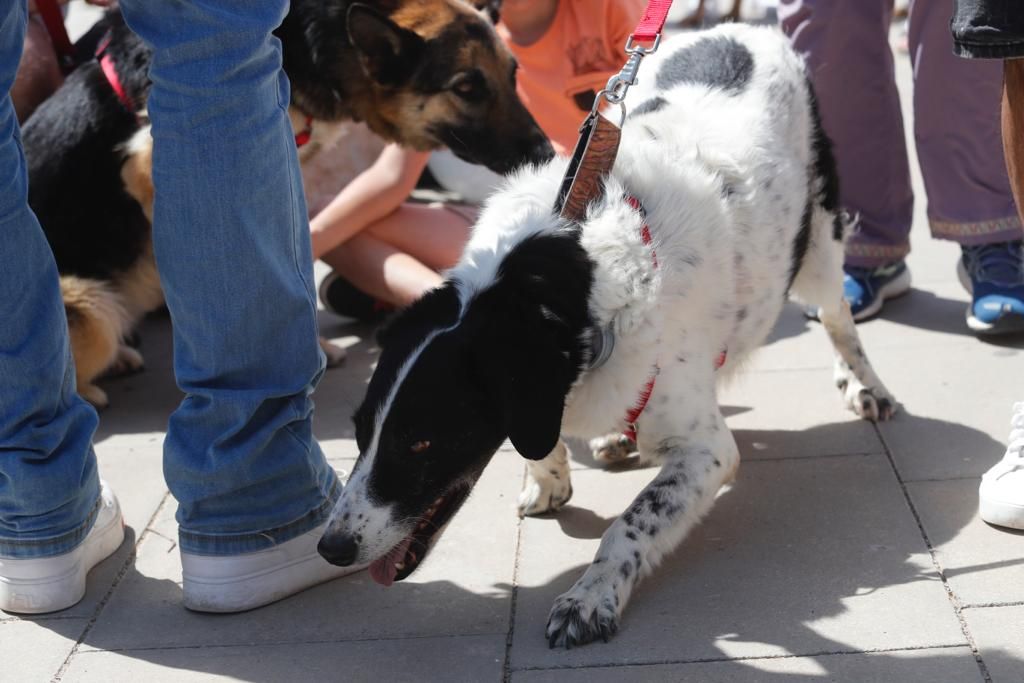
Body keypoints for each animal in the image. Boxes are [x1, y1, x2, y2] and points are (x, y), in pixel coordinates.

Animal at [24, 0, 552, 409]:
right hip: (94, 307)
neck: (312, 42)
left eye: (513, 75)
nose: (548, 152)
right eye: (466, 88)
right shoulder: (155, 168)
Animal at [317, 25, 897, 647]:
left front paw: (590, 596)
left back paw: (866, 384)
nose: (331, 548)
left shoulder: (708, 450)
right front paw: (550, 480)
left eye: (421, 443)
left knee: (837, 316)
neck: (560, 285)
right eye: (359, 432)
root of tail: (747, 29)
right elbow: (543, 440)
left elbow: (632, 523)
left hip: (817, 245)